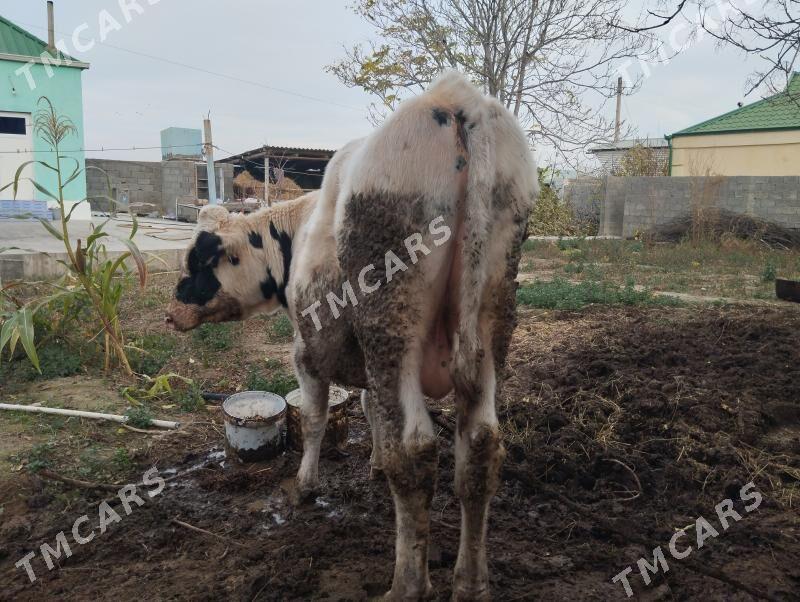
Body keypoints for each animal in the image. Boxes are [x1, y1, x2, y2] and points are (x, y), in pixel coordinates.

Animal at [165, 72, 536, 596]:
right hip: (490, 323)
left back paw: (406, 586)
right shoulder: (364, 361)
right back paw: (470, 583)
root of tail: (456, 100)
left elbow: (315, 418)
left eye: (198, 260)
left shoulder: (309, 351)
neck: (298, 231)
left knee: (416, 451)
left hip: (391, 325)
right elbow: (368, 406)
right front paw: (375, 463)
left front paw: (305, 485)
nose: (170, 312)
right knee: (480, 448)